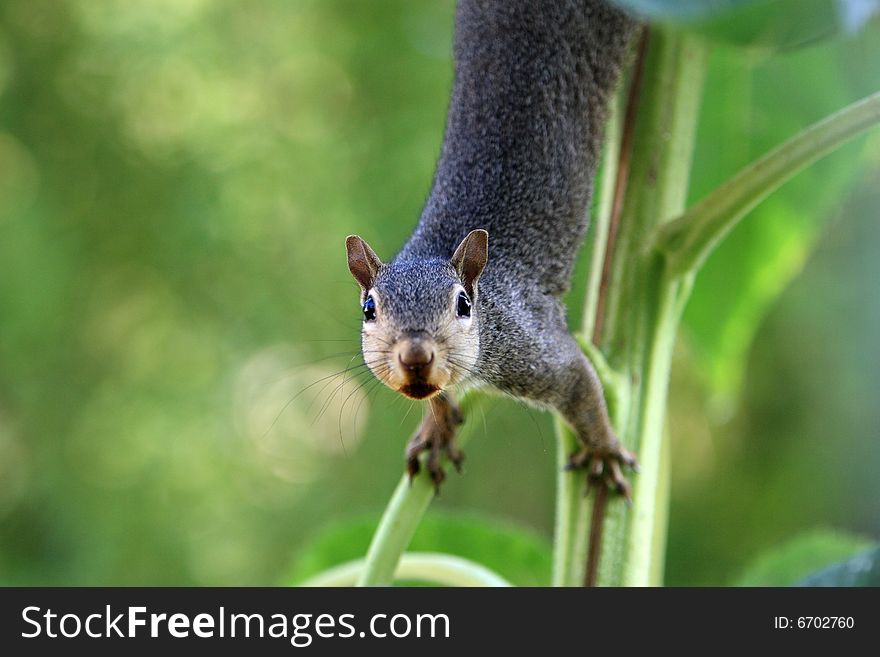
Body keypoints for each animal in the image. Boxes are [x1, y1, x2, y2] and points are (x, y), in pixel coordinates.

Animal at [344, 0, 640, 494]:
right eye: (369, 309)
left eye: (463, 304)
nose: (416, 356)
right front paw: (437, 427)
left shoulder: (531, 347)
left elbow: (583, 385)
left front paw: (603, 450)